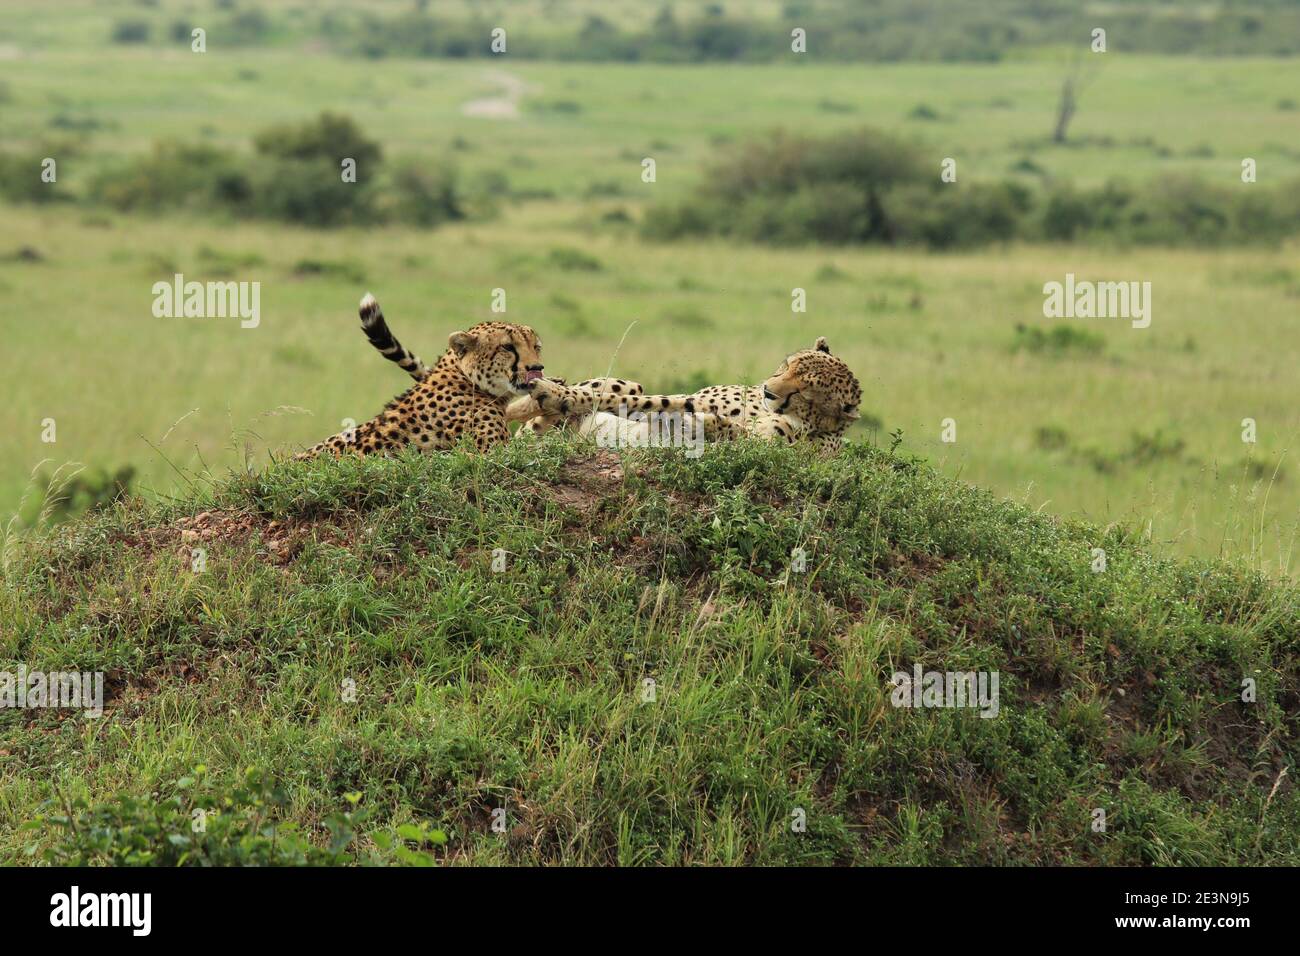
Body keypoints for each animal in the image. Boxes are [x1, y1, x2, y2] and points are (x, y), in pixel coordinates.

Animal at [517, 335, 863, 452]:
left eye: (804, 393)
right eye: (789, 365)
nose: (768, 390)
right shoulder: (694, 398)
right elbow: (654, 401)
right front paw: (559, 394)